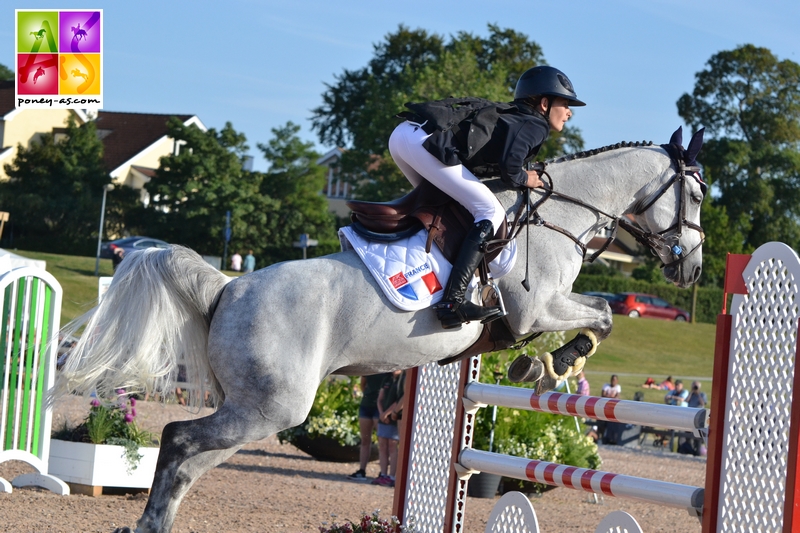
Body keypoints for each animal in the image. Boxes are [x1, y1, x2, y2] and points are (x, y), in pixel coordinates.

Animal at [54, 127, 708, 528]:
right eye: (698, 197)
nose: (693, 268)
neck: (563, 211)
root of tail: (227, 287)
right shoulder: (537, 307)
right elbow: (604, 312)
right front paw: (555, 362)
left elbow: (599, 310)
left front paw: (542, 364)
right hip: (270, 408)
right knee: (179, 441)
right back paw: (147, 524)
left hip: (254, 409)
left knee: (188, 461)